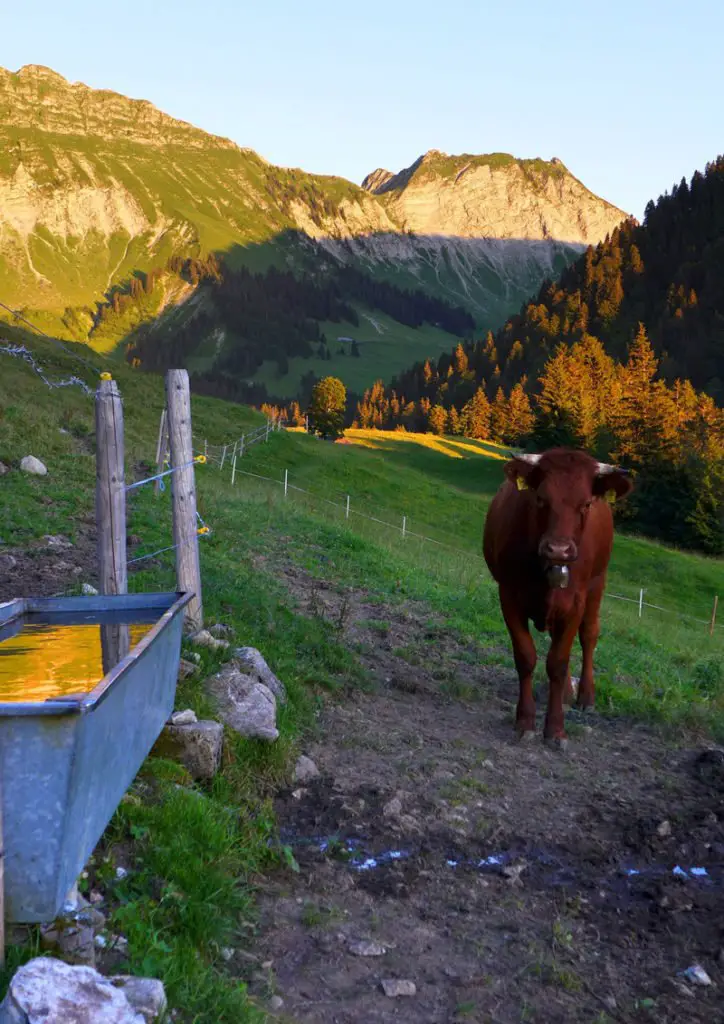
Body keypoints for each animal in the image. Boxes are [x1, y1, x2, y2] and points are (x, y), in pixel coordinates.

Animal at [483, 446, 630, 745]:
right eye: (541, 498)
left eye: (586, 504)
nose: (559, 549)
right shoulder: (508, 595)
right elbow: (526, 656)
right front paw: (525, 721)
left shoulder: (576, 602)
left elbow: (559, 663)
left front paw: (555, 729)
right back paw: (565, 694)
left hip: (597, 584)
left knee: (589, 636)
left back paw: (585, 696)